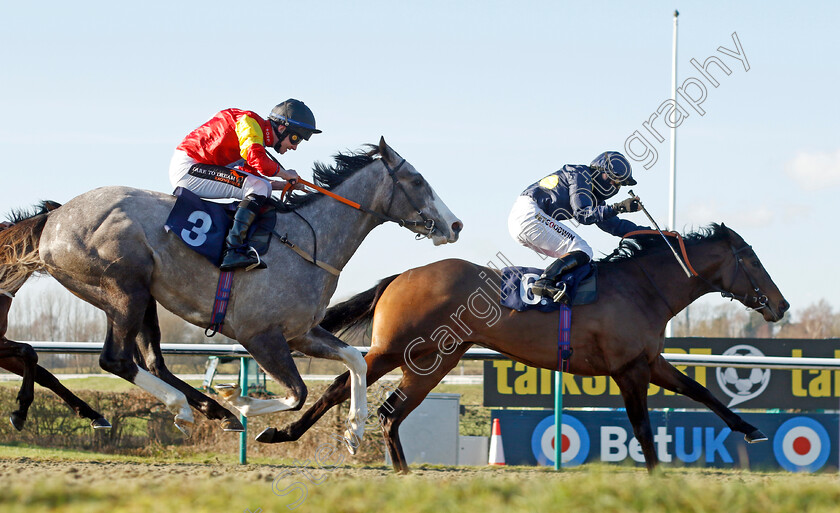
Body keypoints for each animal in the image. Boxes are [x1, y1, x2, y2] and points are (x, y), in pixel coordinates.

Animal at [262, 224, 788, 472]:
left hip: (433, 359)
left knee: (379, 404)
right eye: (752, 260)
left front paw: (750, 429)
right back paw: (289, 435)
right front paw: (657, 473)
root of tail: (402, 275)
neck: (643, 287)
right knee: (350, 388)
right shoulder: (629, 370)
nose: (781, 305)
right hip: (400, 349)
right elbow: (641, 425)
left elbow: (700, 391)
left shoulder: (648, 362)